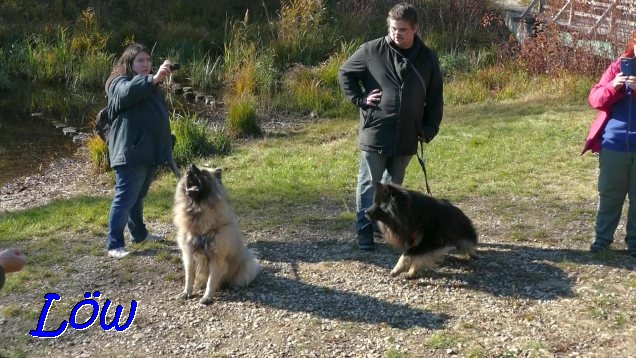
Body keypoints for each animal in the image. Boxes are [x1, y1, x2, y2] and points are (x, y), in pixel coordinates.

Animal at [174, 164, 258, 304]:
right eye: (187, 172)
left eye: (204, 173)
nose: (190, 166)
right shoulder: (189, 256)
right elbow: (189, 278)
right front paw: (187, 292)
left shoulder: (216, 259)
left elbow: (211, 280)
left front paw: (207, 297)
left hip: (247, 264)